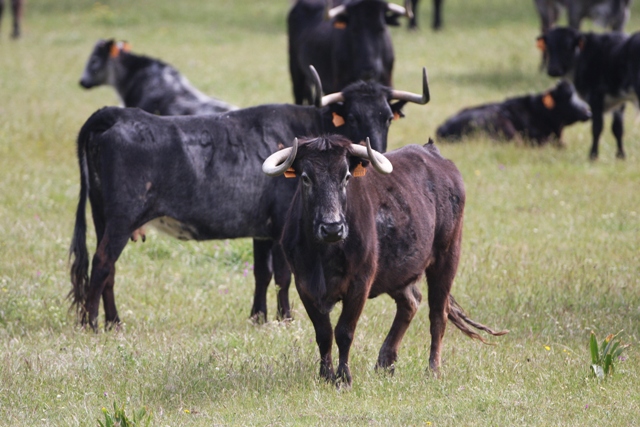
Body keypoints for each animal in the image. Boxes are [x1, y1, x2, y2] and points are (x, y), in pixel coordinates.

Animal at [69, 71, 430, 332]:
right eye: (352, 116)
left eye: (386, 116)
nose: (375, 153)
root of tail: (115, 114)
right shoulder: (283, 225)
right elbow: (283, 275)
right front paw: (285, 318)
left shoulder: (262, 230)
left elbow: (261, 273)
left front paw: (258, 317)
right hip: (121, 219)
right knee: (102, 264)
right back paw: (92, 325)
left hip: (102, 217)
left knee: (109, 270)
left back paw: (114, 322)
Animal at [262, 135, 508, 386]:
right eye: (306, 178)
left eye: (346, 176)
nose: (332, 228)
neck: (324, 254)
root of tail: (435, 156)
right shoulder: (304, 285)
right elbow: (323, 333)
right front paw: (326, 376)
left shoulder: (360, 283)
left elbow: (344, 331)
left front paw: (344, 377)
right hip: (398, 271)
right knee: (411, 302)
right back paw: (384, 362)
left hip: (447, 256)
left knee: (438, 314)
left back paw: (433, 369)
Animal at [536, 27, 636, 160]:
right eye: (548, 47)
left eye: (568, 46)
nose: (553, 70)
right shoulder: (619, 100)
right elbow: (617, 129)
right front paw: (621, 155)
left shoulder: (596, 97)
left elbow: (597, 128)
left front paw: (593, 155)